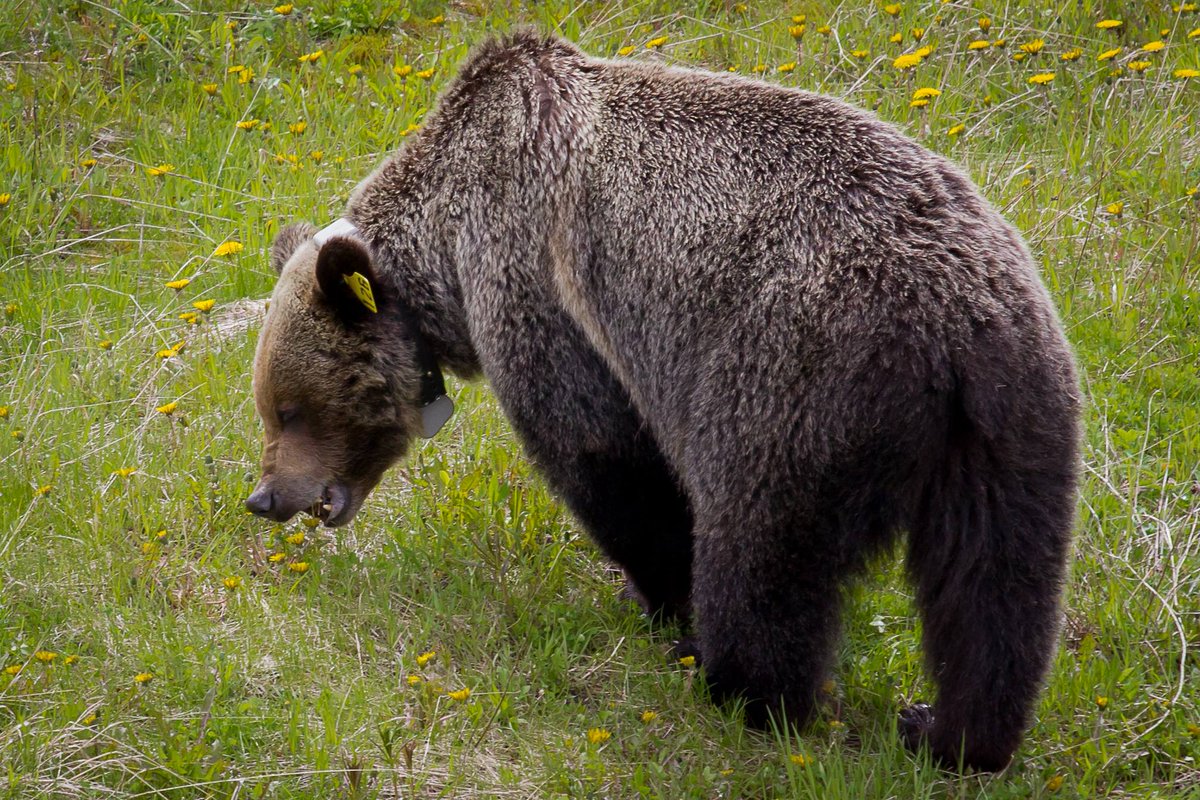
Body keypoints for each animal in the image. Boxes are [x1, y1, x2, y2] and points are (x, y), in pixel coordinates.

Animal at [245, 31, 1081, 772]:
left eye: (288, 407)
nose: (265, 497)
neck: (442, 256)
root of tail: (950, 329)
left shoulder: (536, 281)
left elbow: (598, 453)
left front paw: (658, 601)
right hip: (1013, 418)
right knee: (995, 587)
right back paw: (951, 732)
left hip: (792, 374)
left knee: (760, 544)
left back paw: (737, 685)